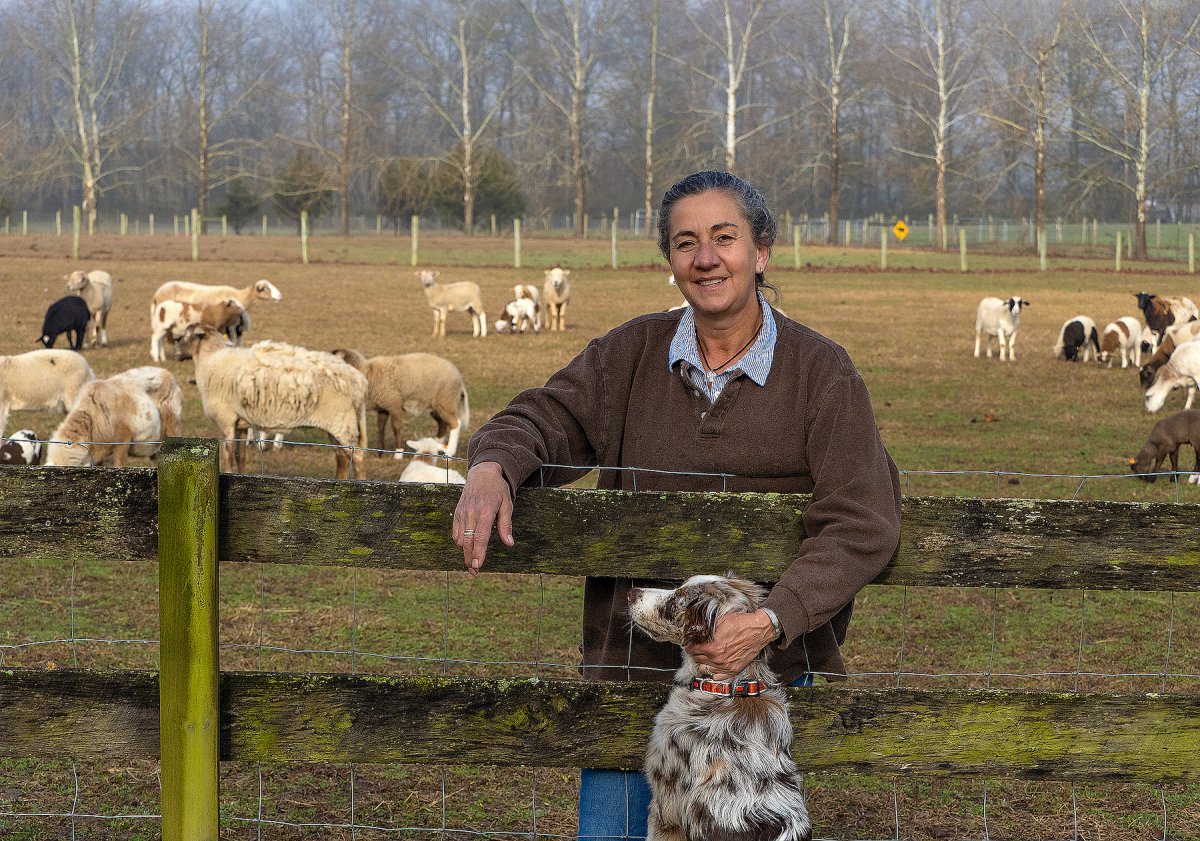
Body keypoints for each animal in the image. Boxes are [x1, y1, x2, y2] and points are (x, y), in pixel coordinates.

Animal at [180, 326, 367, 479]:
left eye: (184, 336)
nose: (176, 354)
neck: (209, 358)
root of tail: (358, 381)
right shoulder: (240, 424)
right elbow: (240, 457)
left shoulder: (226, 420)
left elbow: (227, 457)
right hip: (336, 424)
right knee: (342, 457)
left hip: (343, 423)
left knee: (356, 457)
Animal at [336, 345, 475, 455]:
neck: (368, 372)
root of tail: (458, 376)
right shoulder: (383, 406)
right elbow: (380, 427)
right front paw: (380, 452)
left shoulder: (394, 404)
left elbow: (396, 428)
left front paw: (398, 453)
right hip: (436, 404)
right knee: (443, 424)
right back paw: (435, 445)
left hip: (445, 400)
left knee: (455, 423)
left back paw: (449, 452)